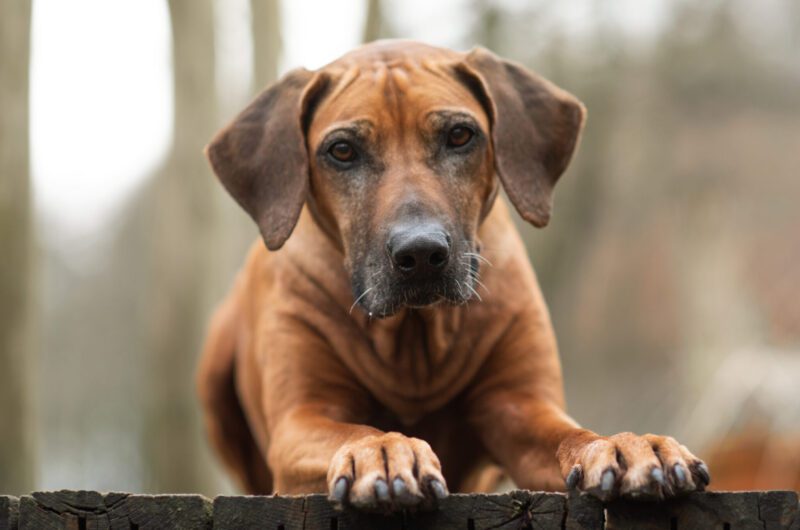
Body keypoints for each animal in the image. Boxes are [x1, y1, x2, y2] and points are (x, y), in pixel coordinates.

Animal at [197, 39, 708, 510]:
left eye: (460, 136)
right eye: (341, 150)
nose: (421, 253)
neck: (415, 336)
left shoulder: (518, 405)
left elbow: (572, 433)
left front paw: (624, 445)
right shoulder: (302, 419)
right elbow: (351, 429)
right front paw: (382, 450)